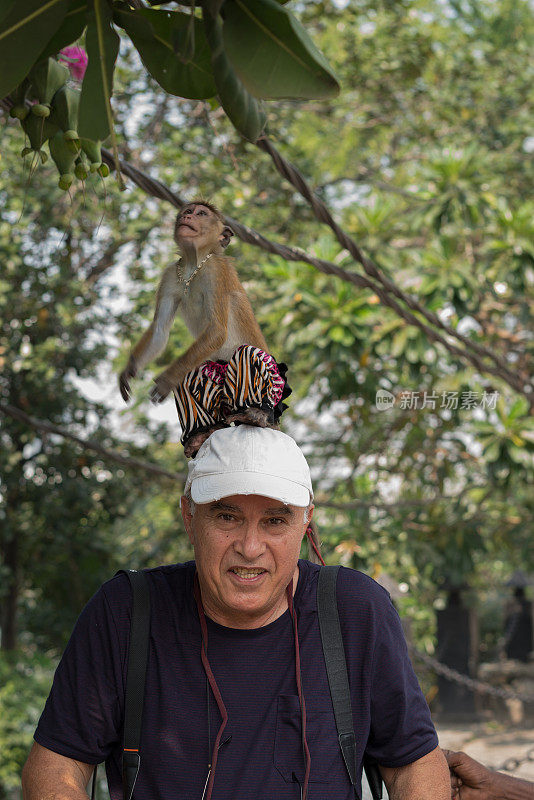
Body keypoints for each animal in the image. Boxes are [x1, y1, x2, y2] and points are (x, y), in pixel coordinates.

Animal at [119, 203, 270, 410]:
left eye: (201, 213)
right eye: (188, 211)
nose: (187, 217)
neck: (194, 264)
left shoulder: (215, 270)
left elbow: (217, 330)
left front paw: (167, 379)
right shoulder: (170, 275)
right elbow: (160, 330)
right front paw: (129, 369)